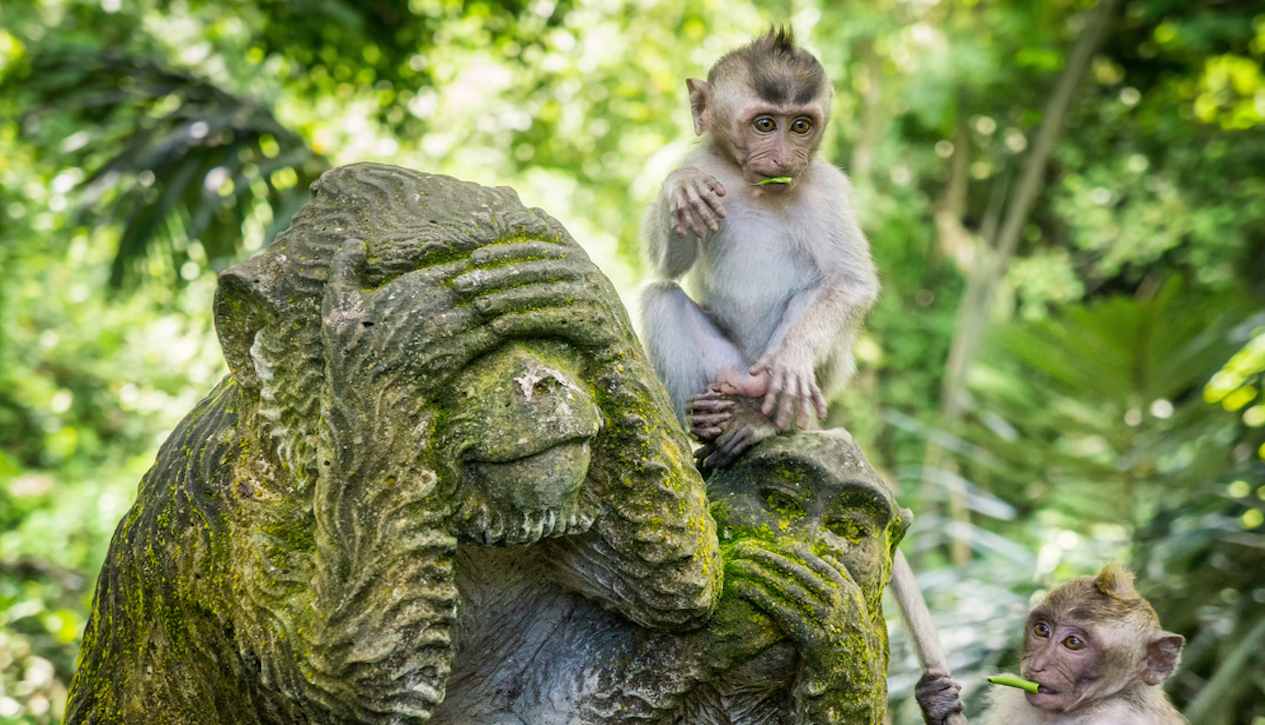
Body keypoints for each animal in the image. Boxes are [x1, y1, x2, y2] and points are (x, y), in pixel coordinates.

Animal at [642, 28, 880, 465]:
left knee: (816, 294)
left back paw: (764, 421)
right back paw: (704, 421)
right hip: (726, 366)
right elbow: (667, 267)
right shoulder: (702, 163)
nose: (785, 157)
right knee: (659, 297)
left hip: (803, 387)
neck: (752, 186)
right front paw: (679, 188)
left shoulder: (828, 189)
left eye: (801, 125)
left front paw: (793, 358)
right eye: (765, 124)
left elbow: (851, 281)